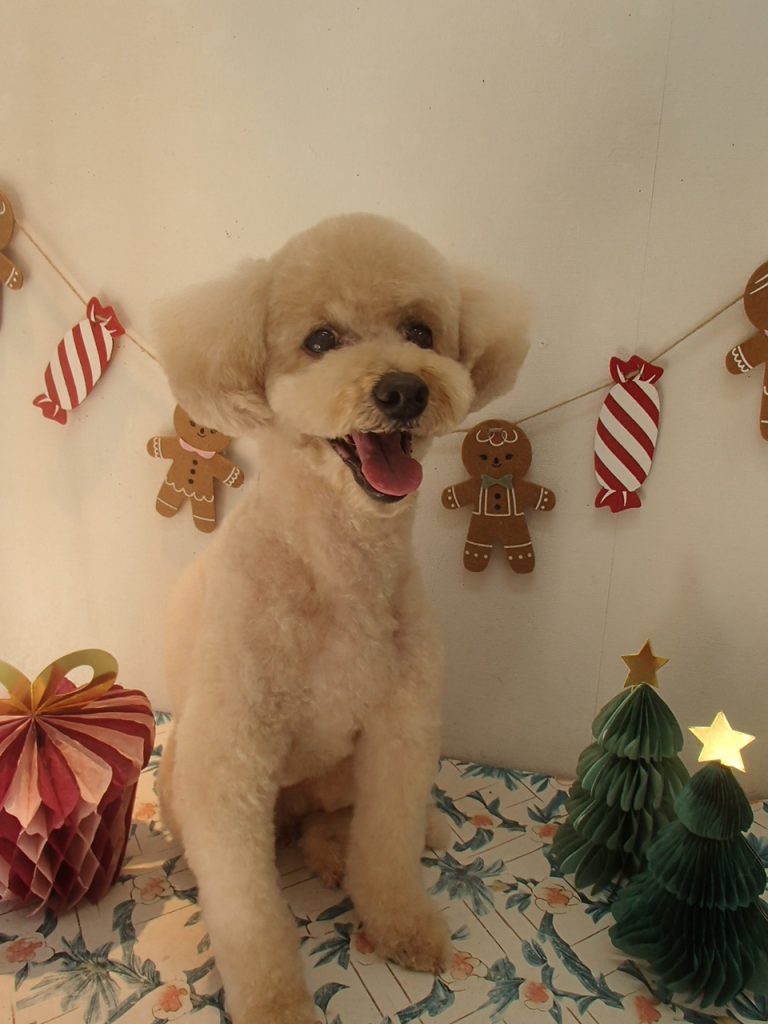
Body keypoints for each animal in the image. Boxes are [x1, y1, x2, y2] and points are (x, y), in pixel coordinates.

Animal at [154, 213, 529, 1023]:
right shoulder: (230, 764)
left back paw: (354, 849)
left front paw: (401, 925)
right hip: (184, 780)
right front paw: (274, 1004)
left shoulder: (400, 729)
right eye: (321, 340)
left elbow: (384, 847)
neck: (337, 568)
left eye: (421, 331)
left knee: (347, 823)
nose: (403, 388)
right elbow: (247, 913)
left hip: (344, 770)